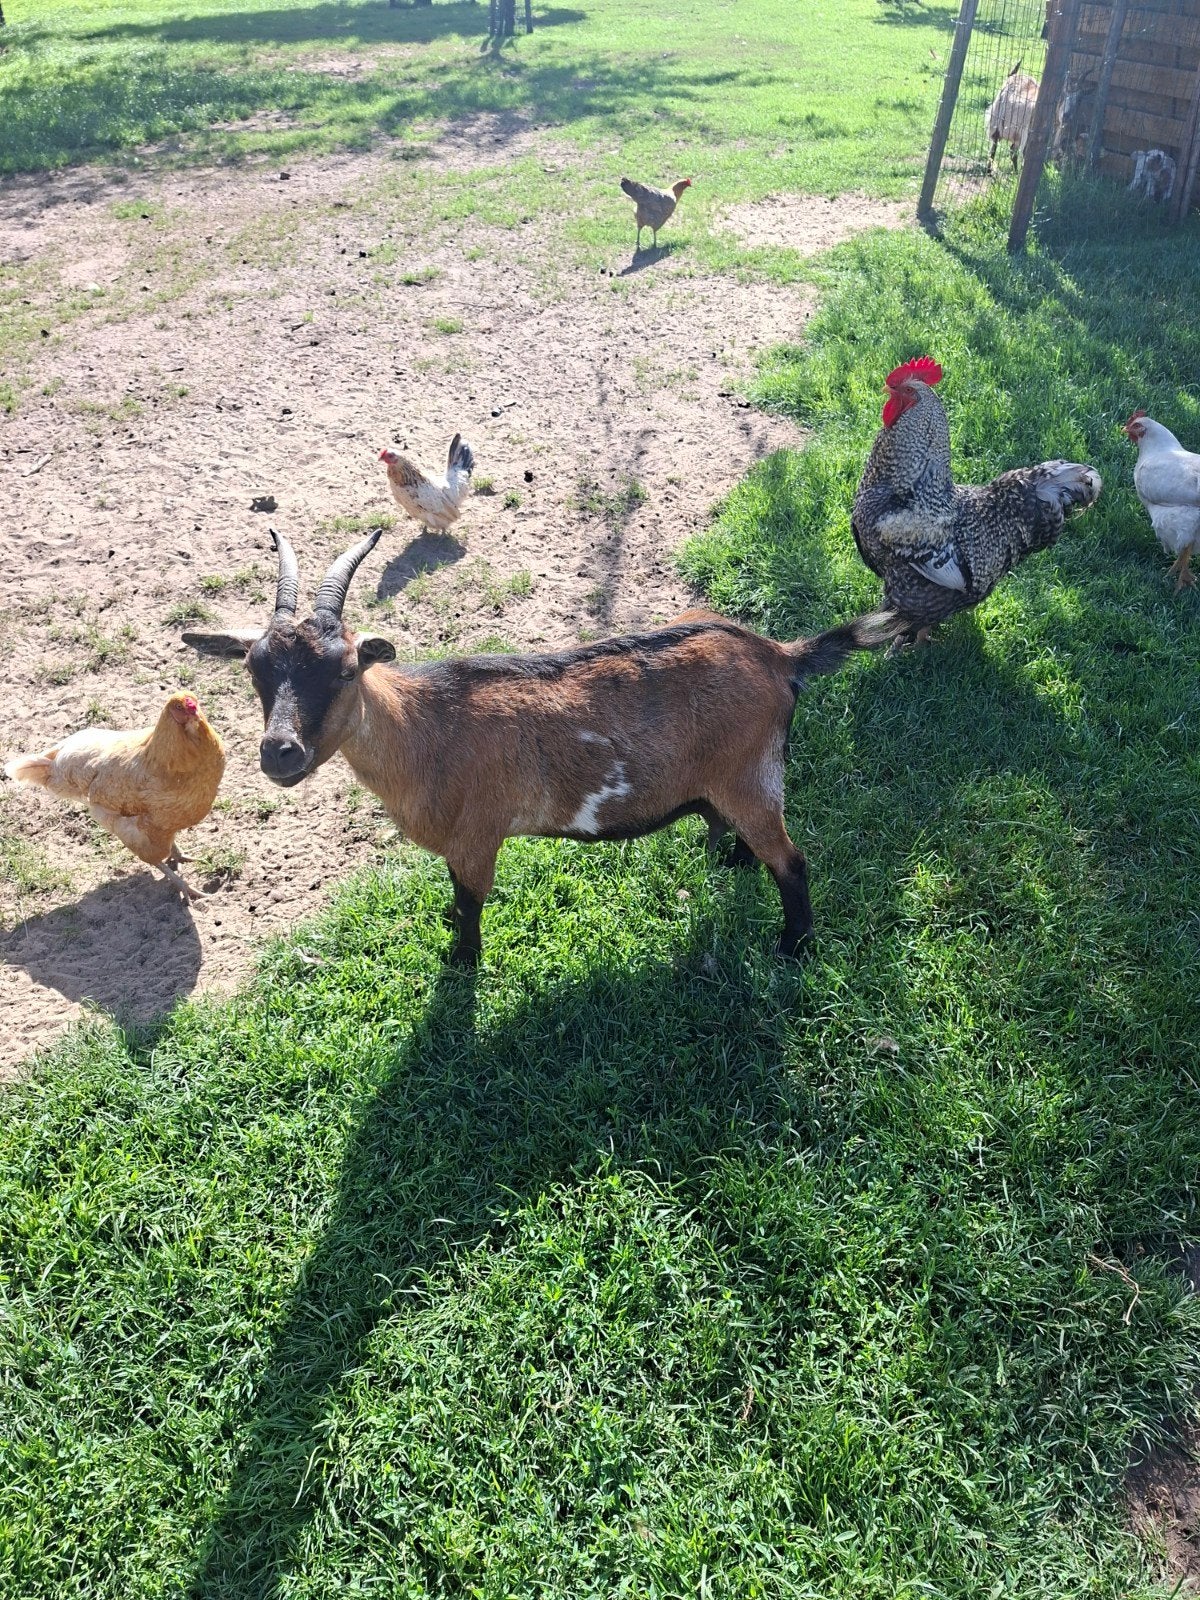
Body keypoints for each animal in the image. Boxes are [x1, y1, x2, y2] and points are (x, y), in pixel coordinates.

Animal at [185, 529, 902, 966]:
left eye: (341, 671)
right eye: (254, 669)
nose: (279, 752)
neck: (426, 728)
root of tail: (780, 656)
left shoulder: (477, 836)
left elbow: (470, 904)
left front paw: (461, 962)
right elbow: (456, 900)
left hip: (752, 777)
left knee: (793, 862)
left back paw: (792, 946)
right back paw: (729, 865)